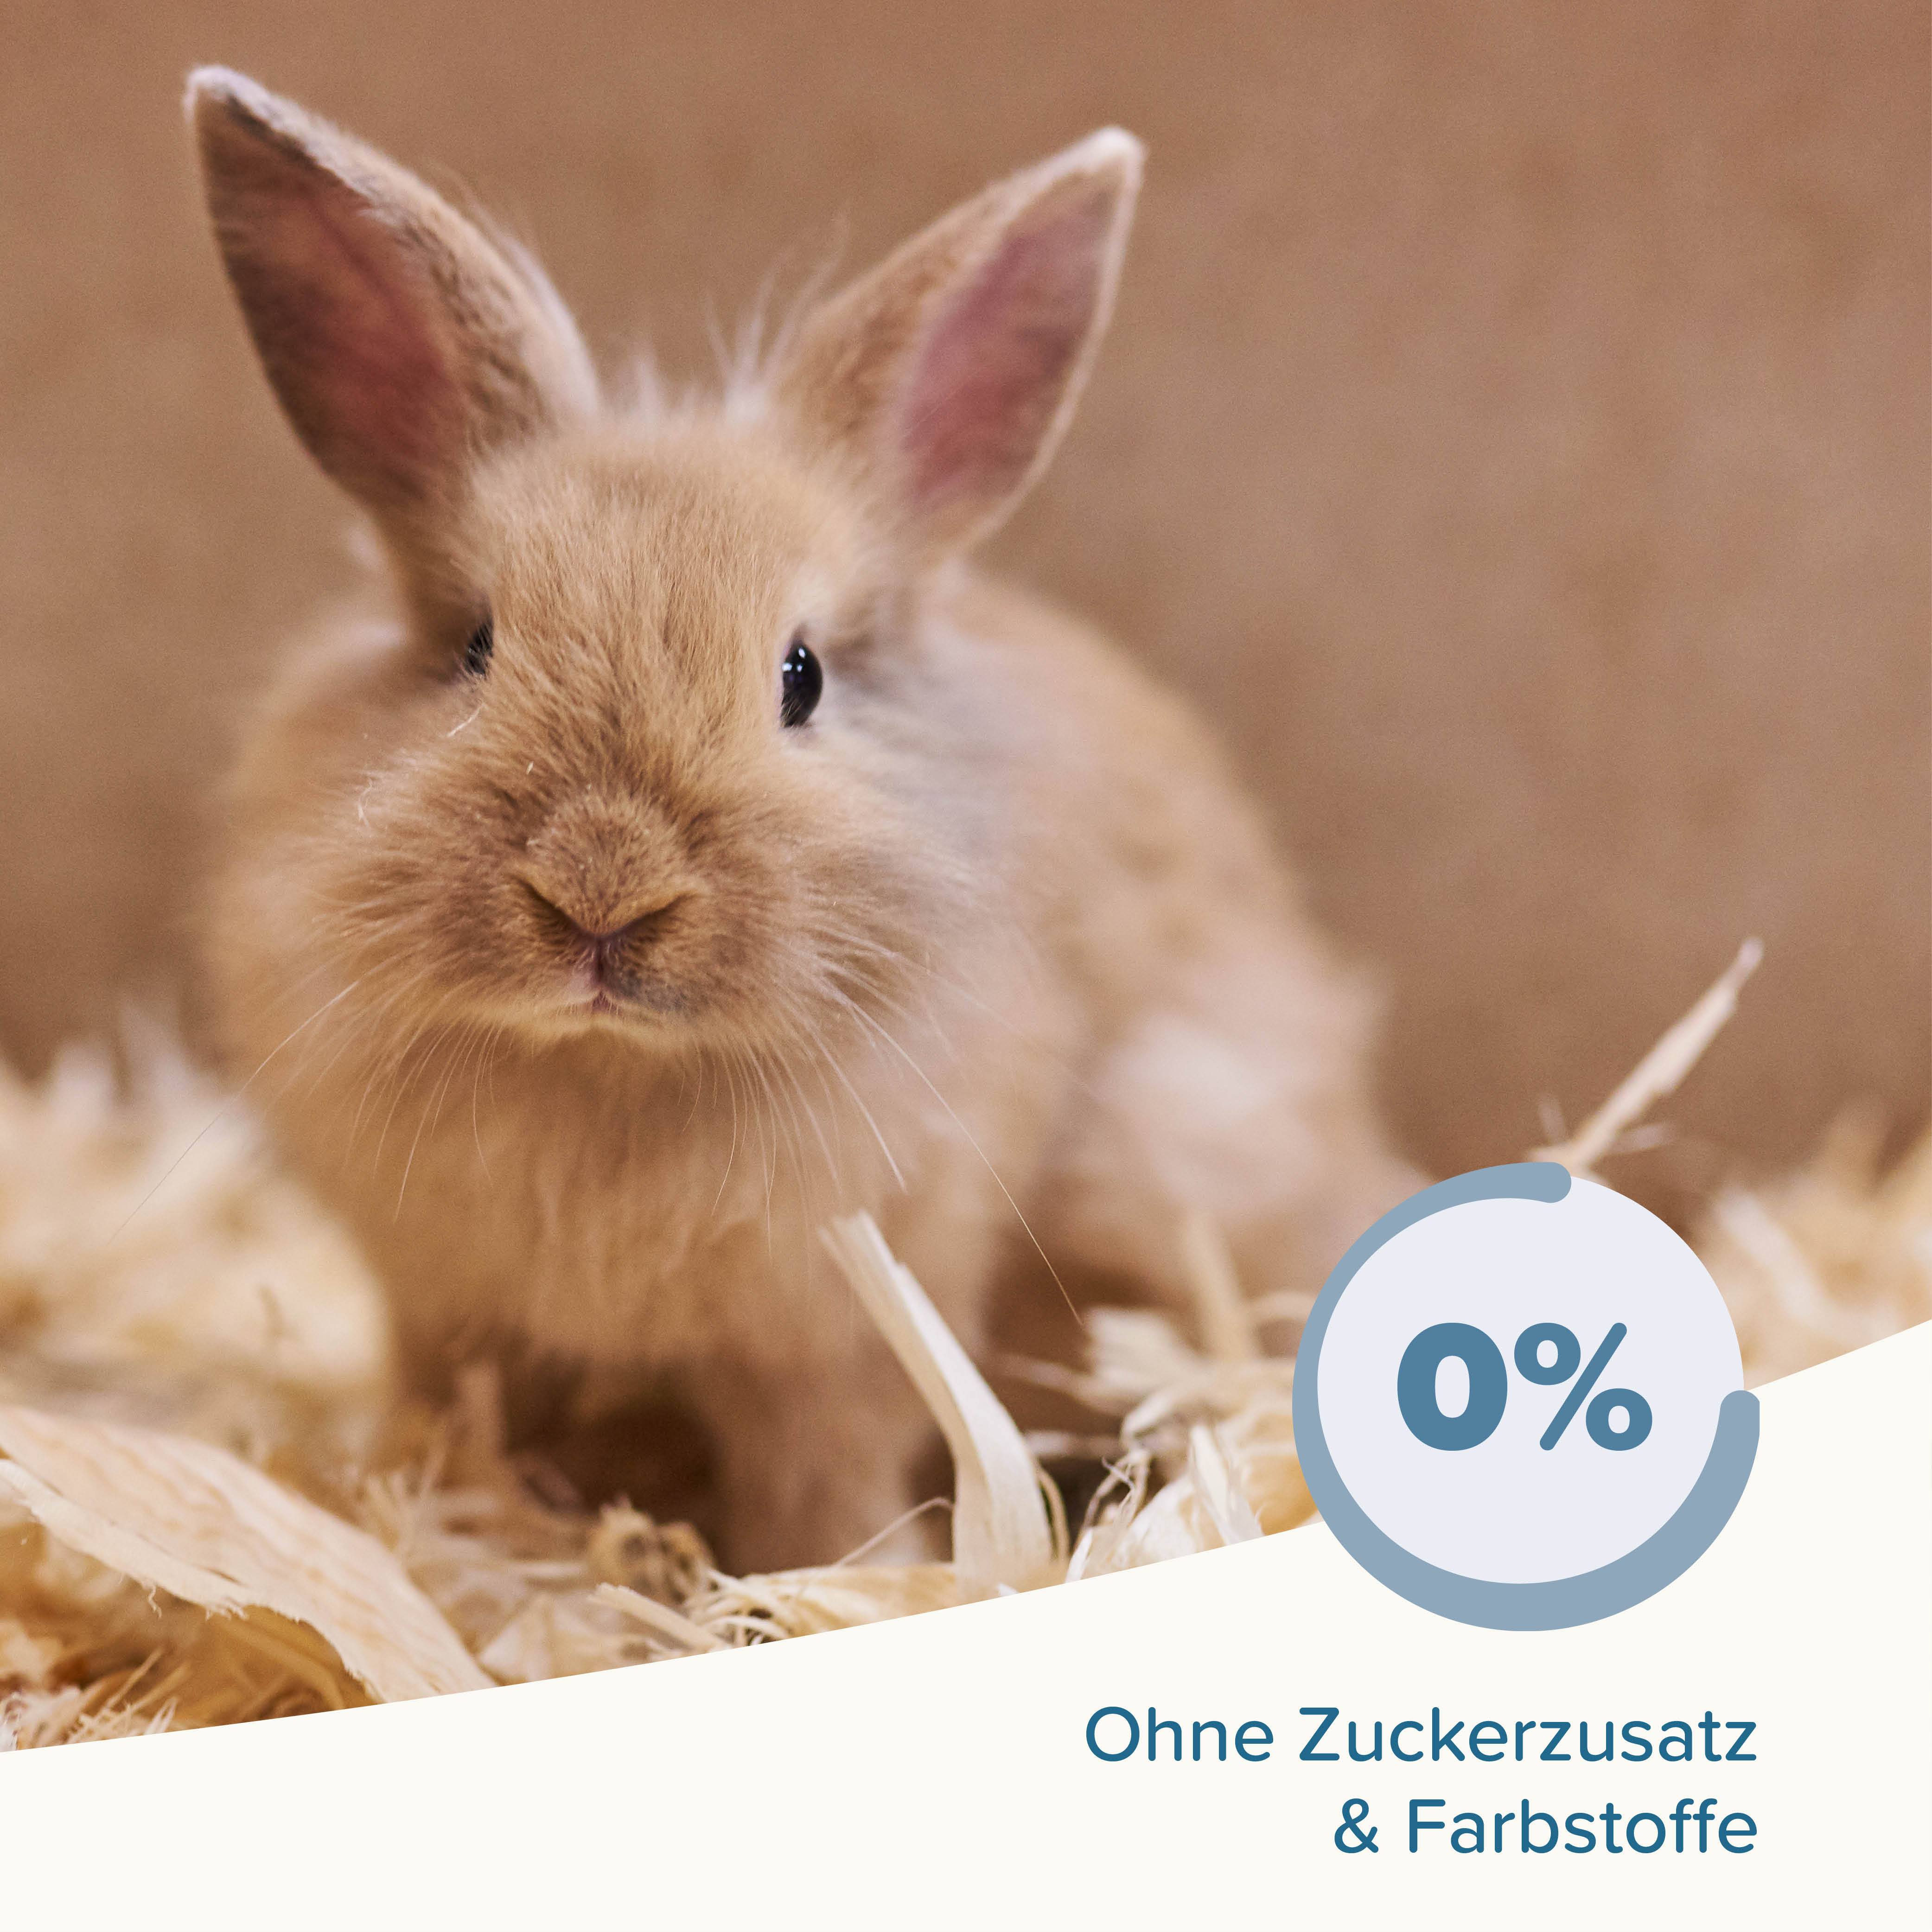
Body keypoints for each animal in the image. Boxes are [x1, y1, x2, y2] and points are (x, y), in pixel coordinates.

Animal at [188, 67, 1420, 1573]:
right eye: (475, 646)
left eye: (802, 678)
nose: (602, 892)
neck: (612, 1074)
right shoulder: (450, 1313)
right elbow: (468, 1430)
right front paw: (461, 1526)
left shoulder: (837, 1339)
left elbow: (820, 1484)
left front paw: (842, 1580)